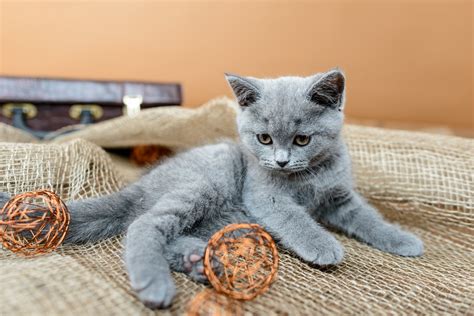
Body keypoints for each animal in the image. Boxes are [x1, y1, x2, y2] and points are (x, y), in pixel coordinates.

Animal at [0, 69, 422, 308]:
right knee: (145, 224)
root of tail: (141, 186)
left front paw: (402, 240)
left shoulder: (340, 196)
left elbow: (367, 217)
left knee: (173, 232)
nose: (281, 161)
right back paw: (158, 283)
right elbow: (295, 218)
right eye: (264, 139)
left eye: (302, 139)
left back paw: (201, 262)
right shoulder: (264, 194)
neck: (308, 177)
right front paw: (322, 245)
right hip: (211, 178)